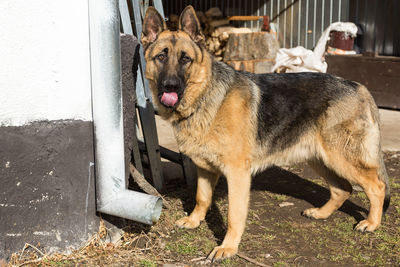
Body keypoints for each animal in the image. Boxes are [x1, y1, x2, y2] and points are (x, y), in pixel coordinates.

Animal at [141, 5, 390, 262]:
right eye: (161, 57)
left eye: (185, 59)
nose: (170, 86)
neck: (205, 97)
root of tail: (359, 87)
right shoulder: (205, 169)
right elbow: (202, 197)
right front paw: (194, 220)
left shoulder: (237, 174)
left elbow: (234, 215)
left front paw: (228, 247)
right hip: (319, 157)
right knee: (343, 189)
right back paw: (321, 213)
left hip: (340, 157)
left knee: (376, 186)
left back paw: (371, 223)